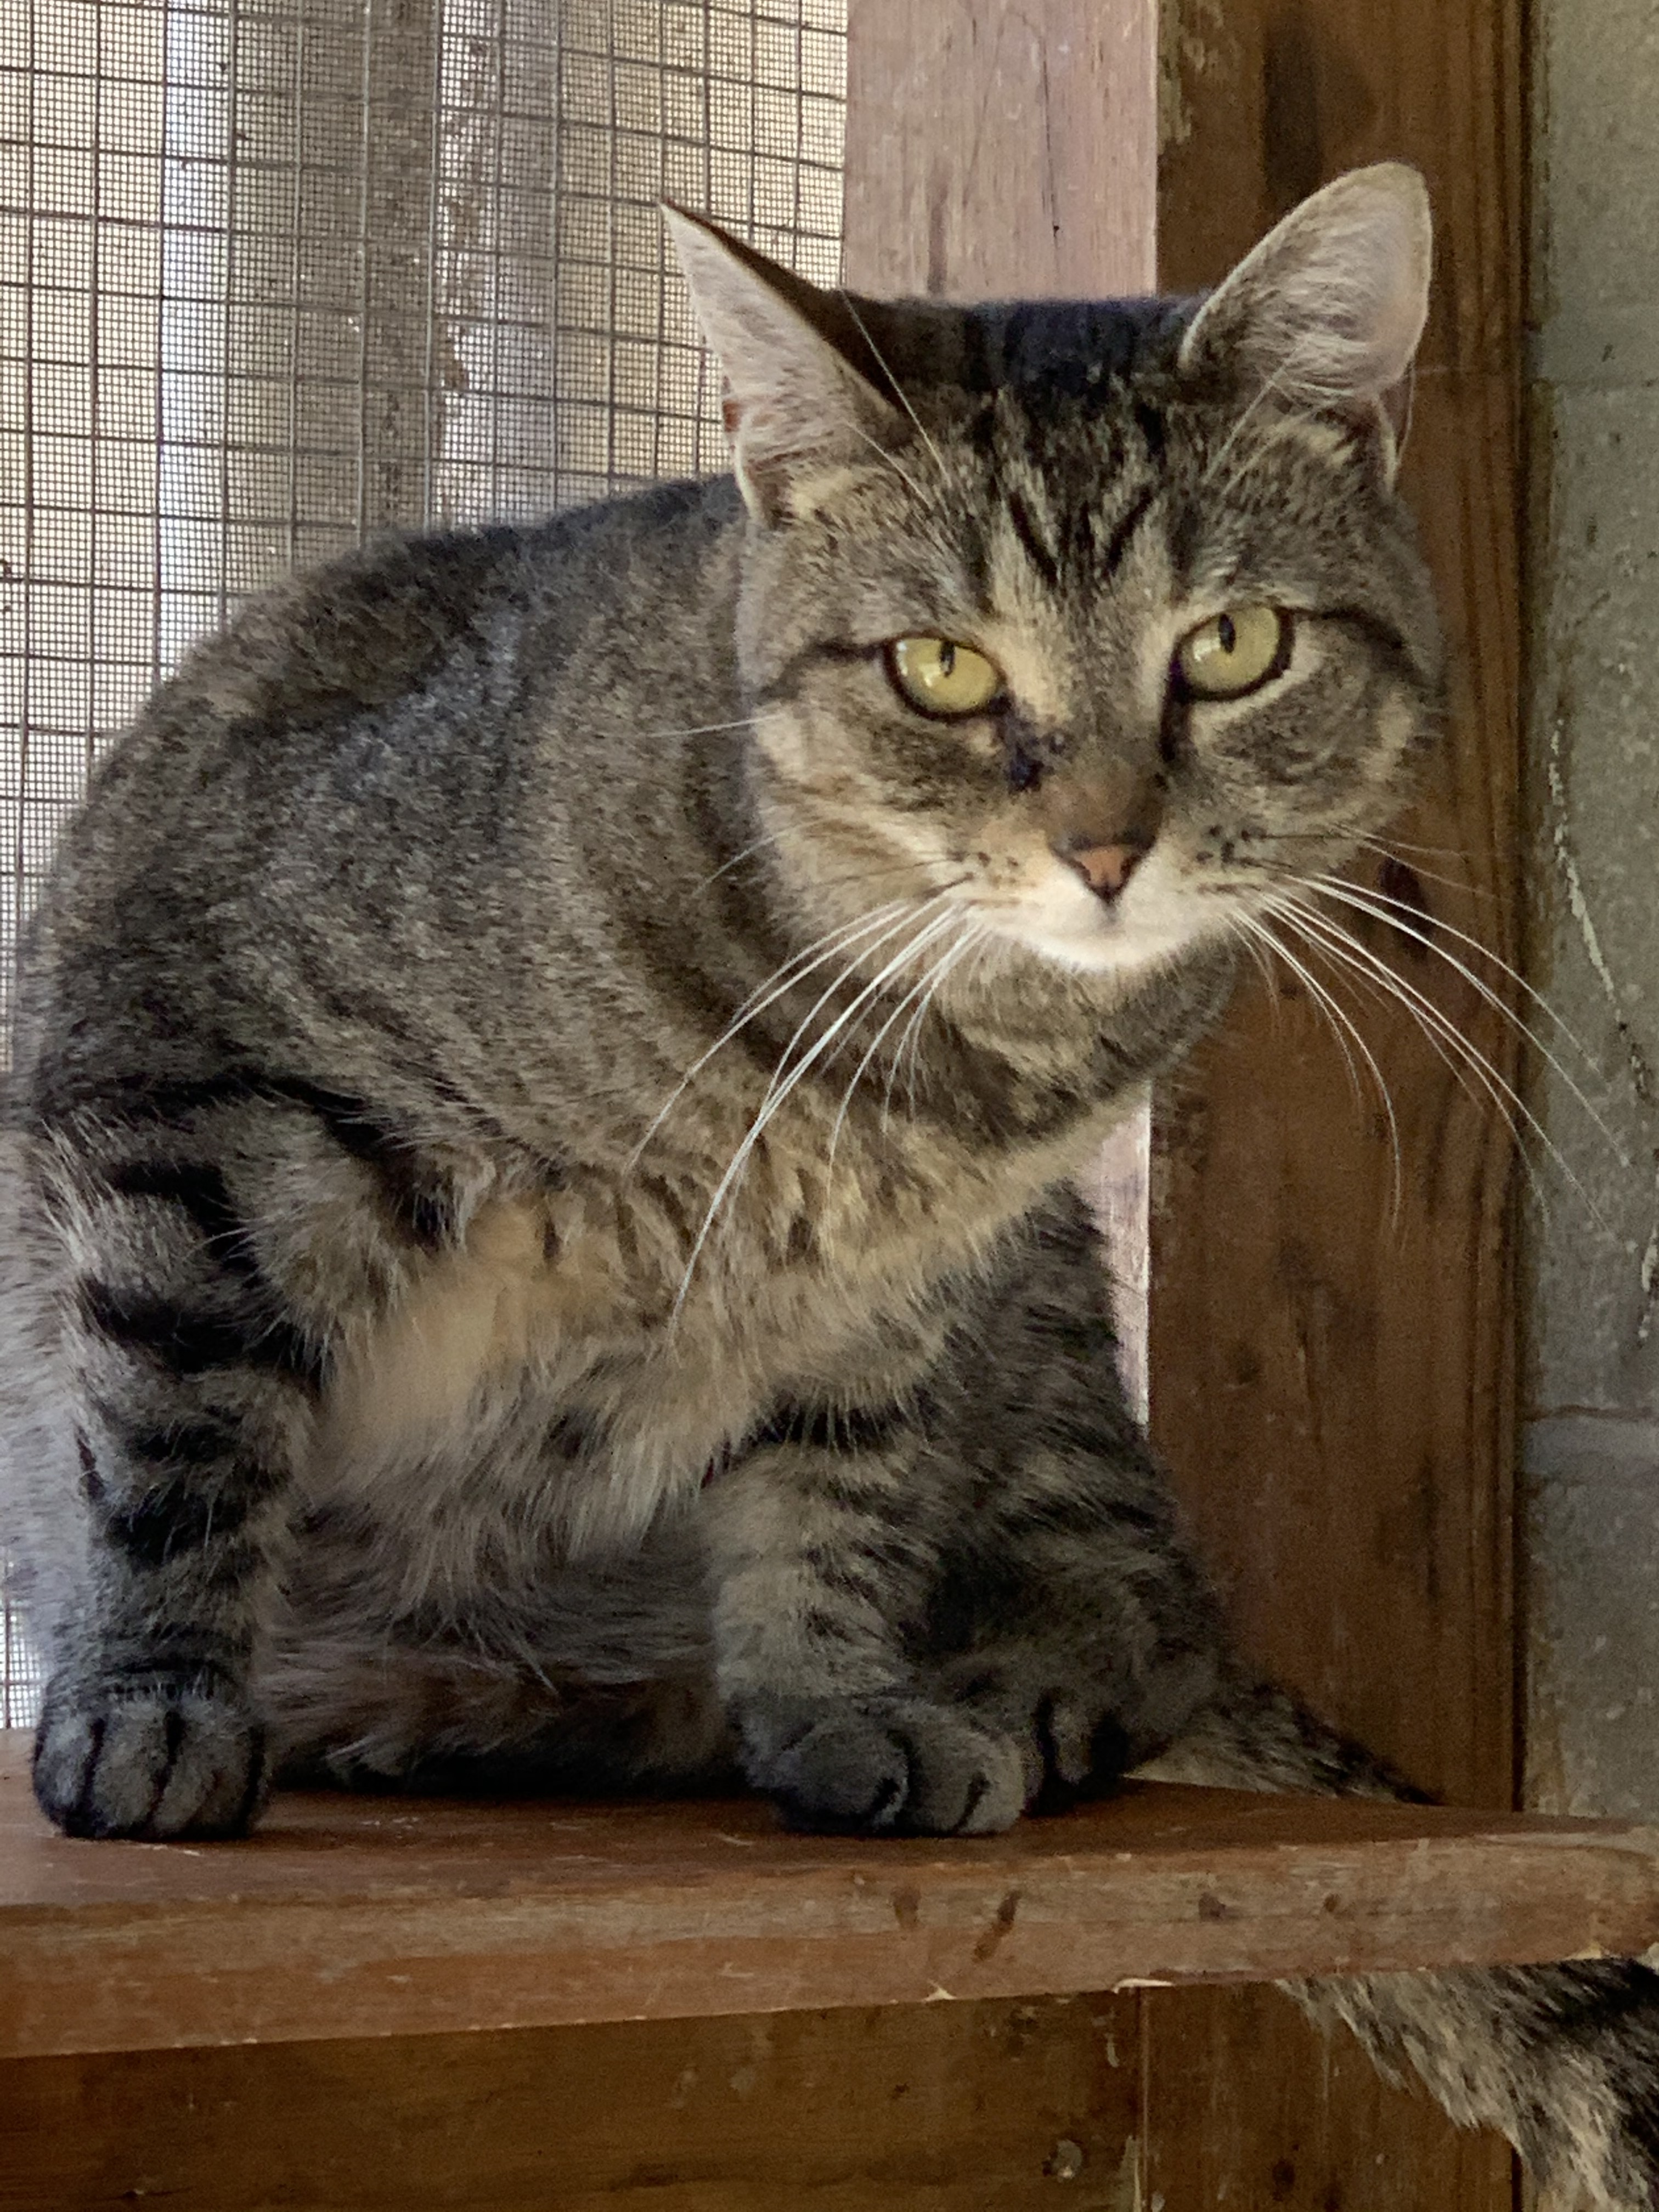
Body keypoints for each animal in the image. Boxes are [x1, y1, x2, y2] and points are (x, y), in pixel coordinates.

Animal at [3, 168, 1659, 2194]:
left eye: (1231, 647)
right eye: (941, 667)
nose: (1105, 844)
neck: (912, 1075)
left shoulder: (901, 1296)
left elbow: (834, 1504)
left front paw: (842, 1704)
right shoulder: (199, 1075)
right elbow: (177, 1438)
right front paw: (152, 1702)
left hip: (1042, 1341)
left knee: (1152, 1607)